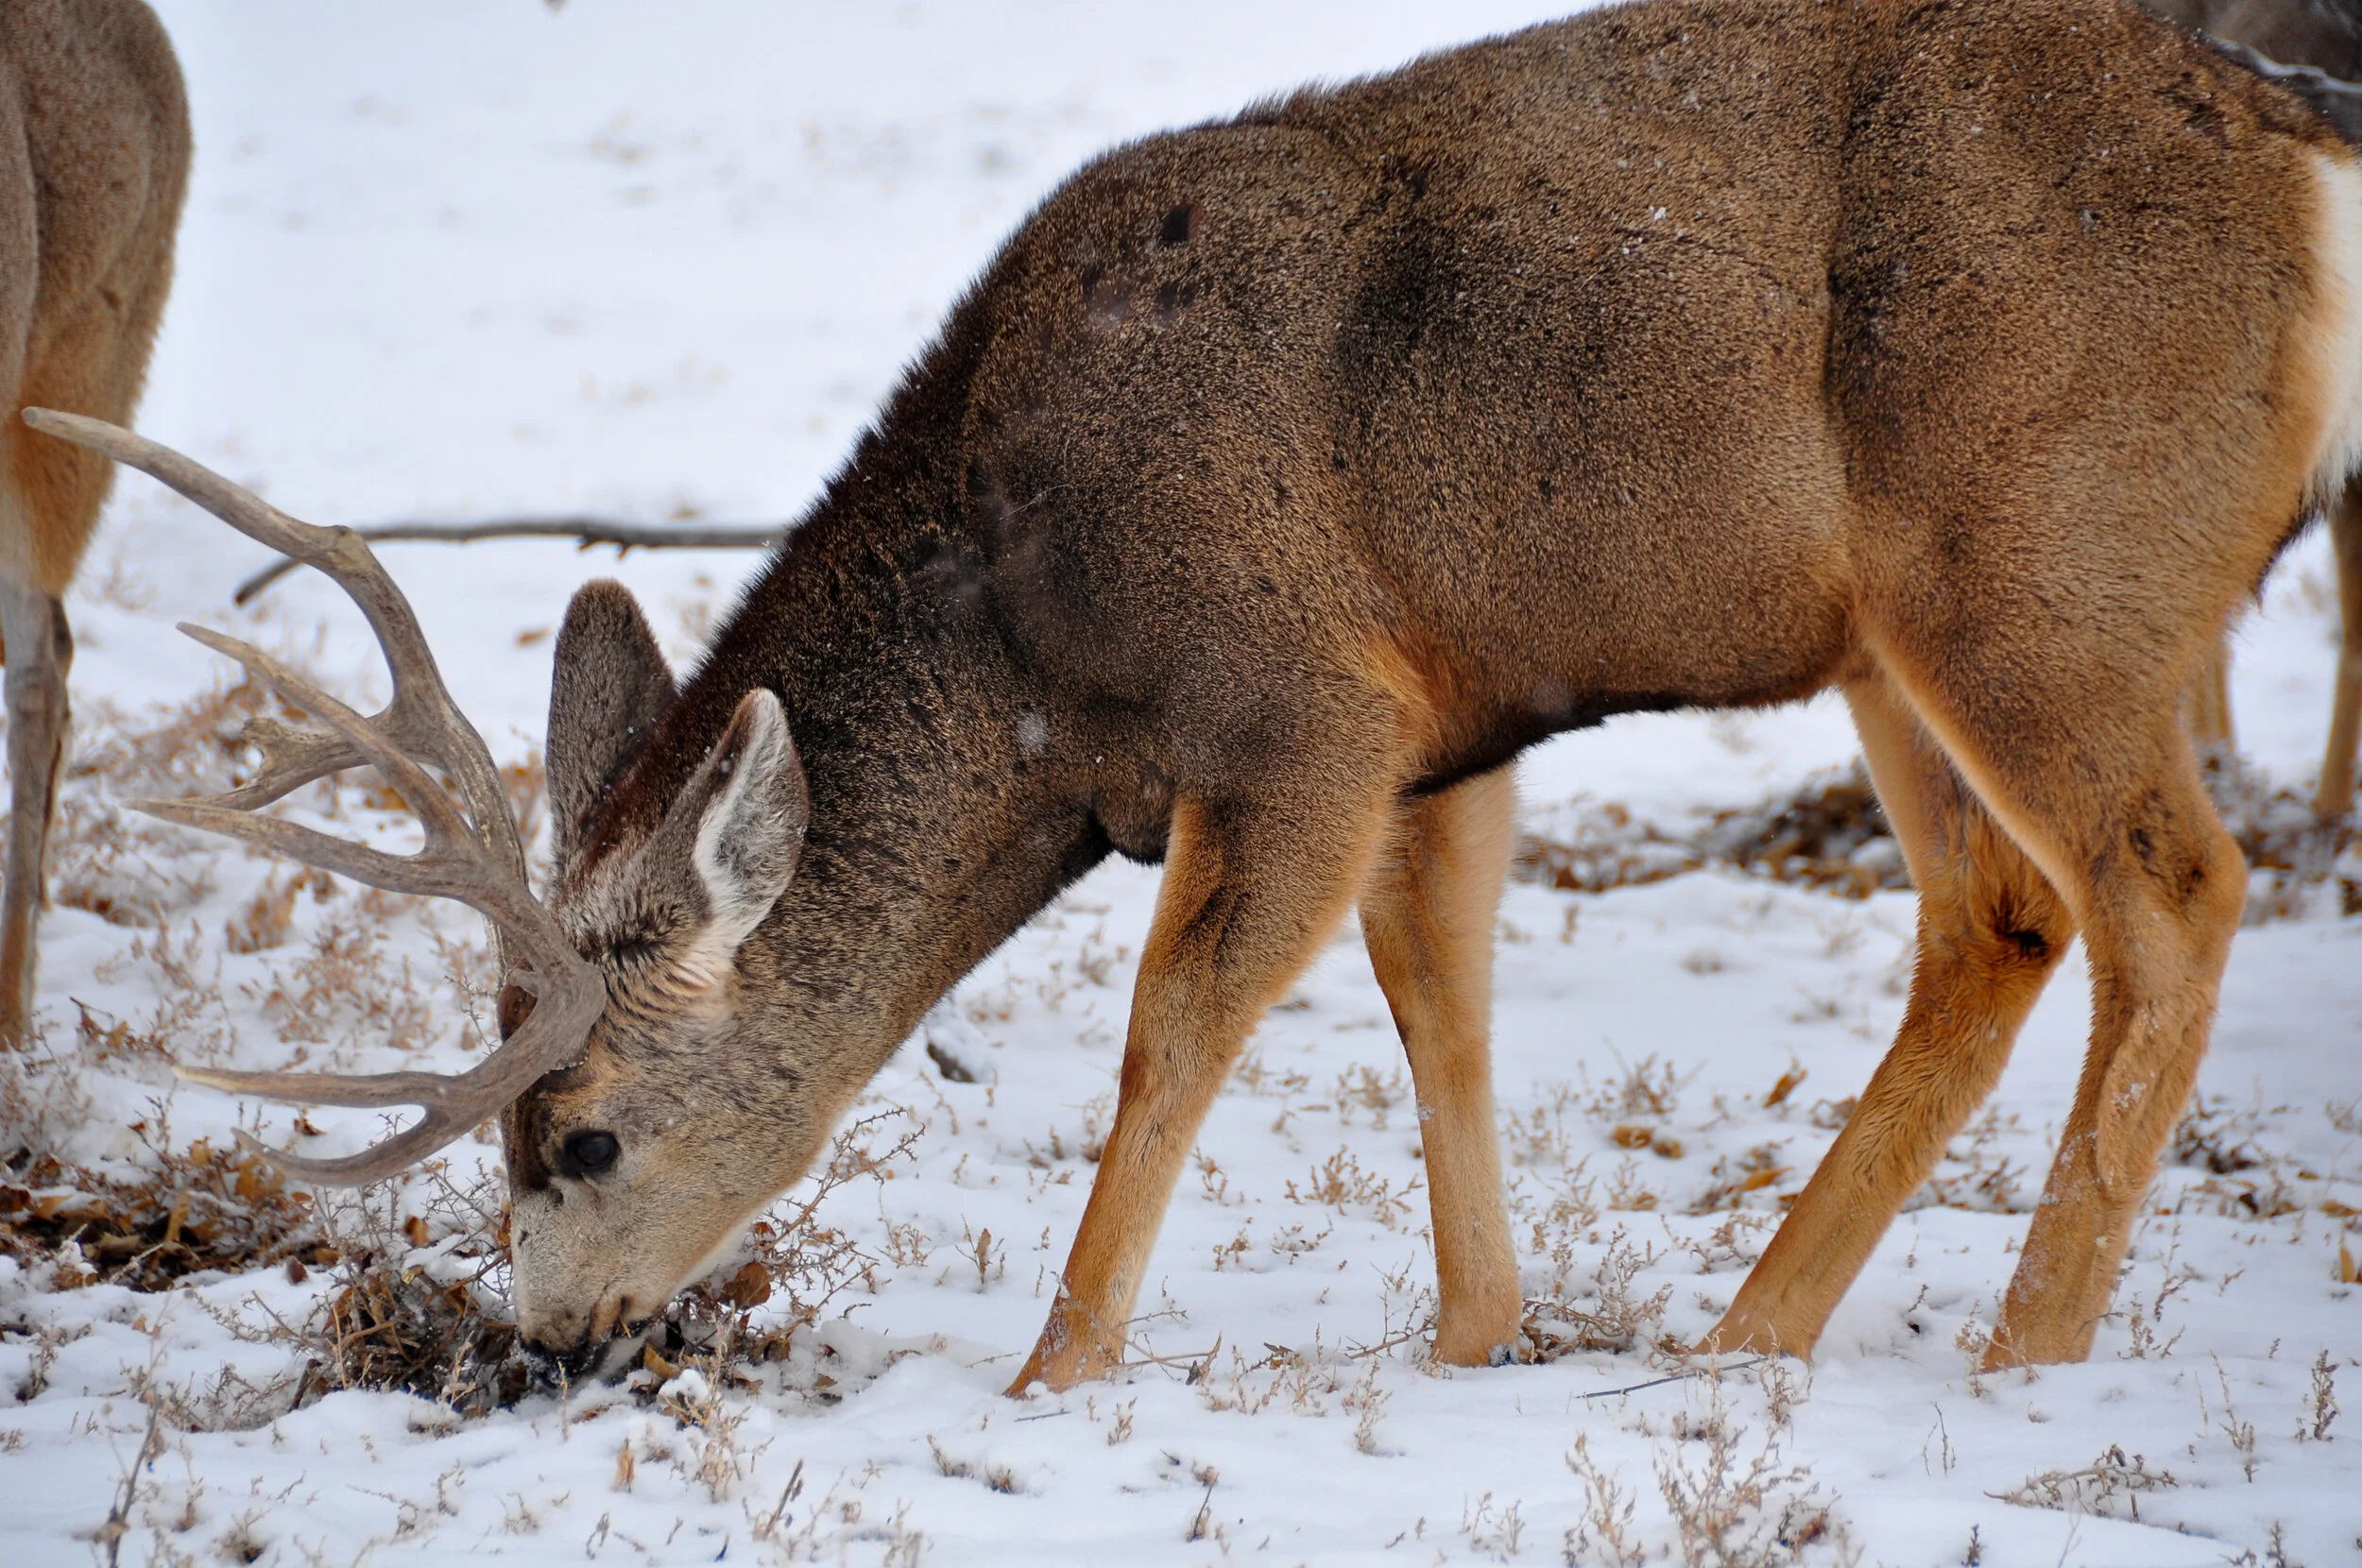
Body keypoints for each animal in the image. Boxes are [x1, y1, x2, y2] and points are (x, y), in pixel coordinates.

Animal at [36, 0, 2362, 1393]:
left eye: (583, 1131)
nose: (547, 1338)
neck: (1032, 641)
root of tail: (2293, 148)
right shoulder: (1443, 719)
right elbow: (1438, 1001)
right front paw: (1478, 1337)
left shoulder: (1302, 693)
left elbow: (1176, 1027)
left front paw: (1058, 1370)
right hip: (1887, 630)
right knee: (1999, 913)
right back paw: (1744, 1337)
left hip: (2036, 560)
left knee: (2169, 891)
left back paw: (2018, 1350)